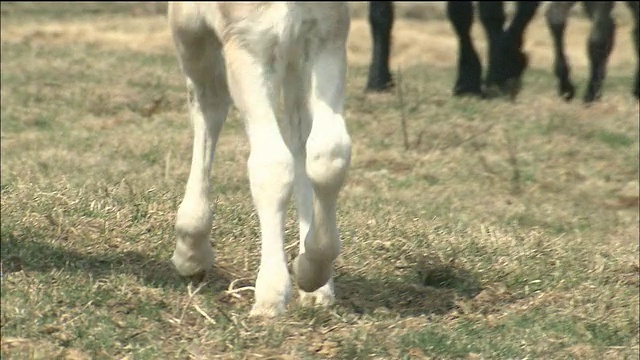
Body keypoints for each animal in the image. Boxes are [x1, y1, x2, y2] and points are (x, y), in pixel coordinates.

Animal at [168, 2, 352, 318]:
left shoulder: (327, 36)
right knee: (209, 104)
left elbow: (329, 154)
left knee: (298, 132)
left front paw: (311, 270)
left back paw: (316, 288)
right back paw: (191, 251)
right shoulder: (249, 43)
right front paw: (271, 293)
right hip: (190, 29)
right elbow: (272, 164)